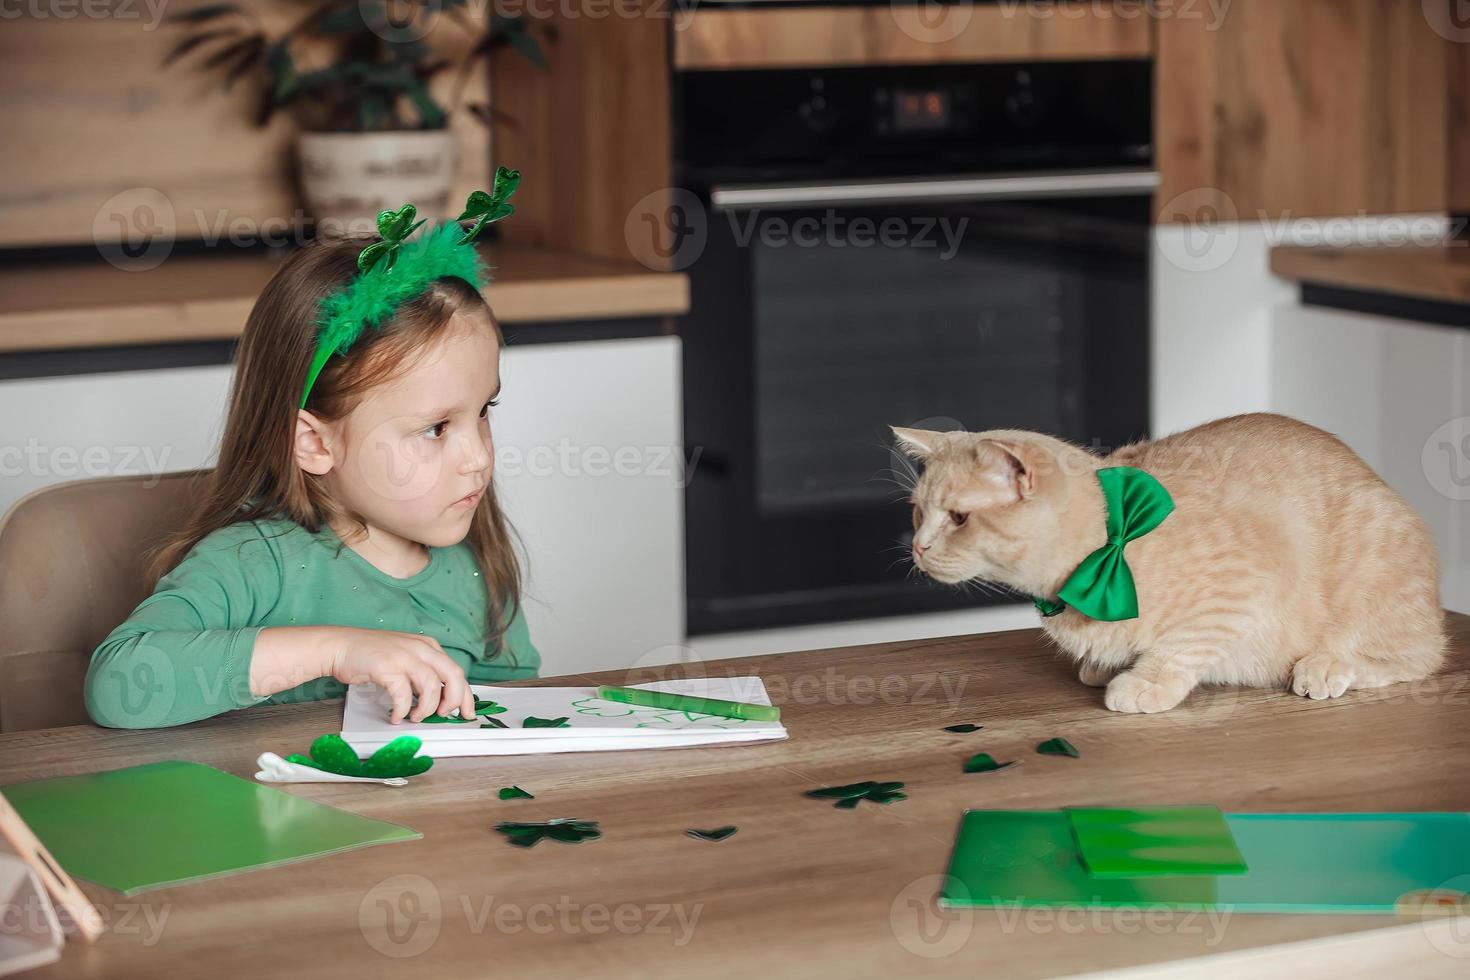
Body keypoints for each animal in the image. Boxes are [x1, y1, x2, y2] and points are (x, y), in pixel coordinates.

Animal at [893, 414, 1446, 714]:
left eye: (959, 517)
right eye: (917, 511)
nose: (917, 547)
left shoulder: (1243, 583)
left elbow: (1183, 645)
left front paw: (1145, 681)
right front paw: (1104, 663)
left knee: (1421, 655)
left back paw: (1326, 665)